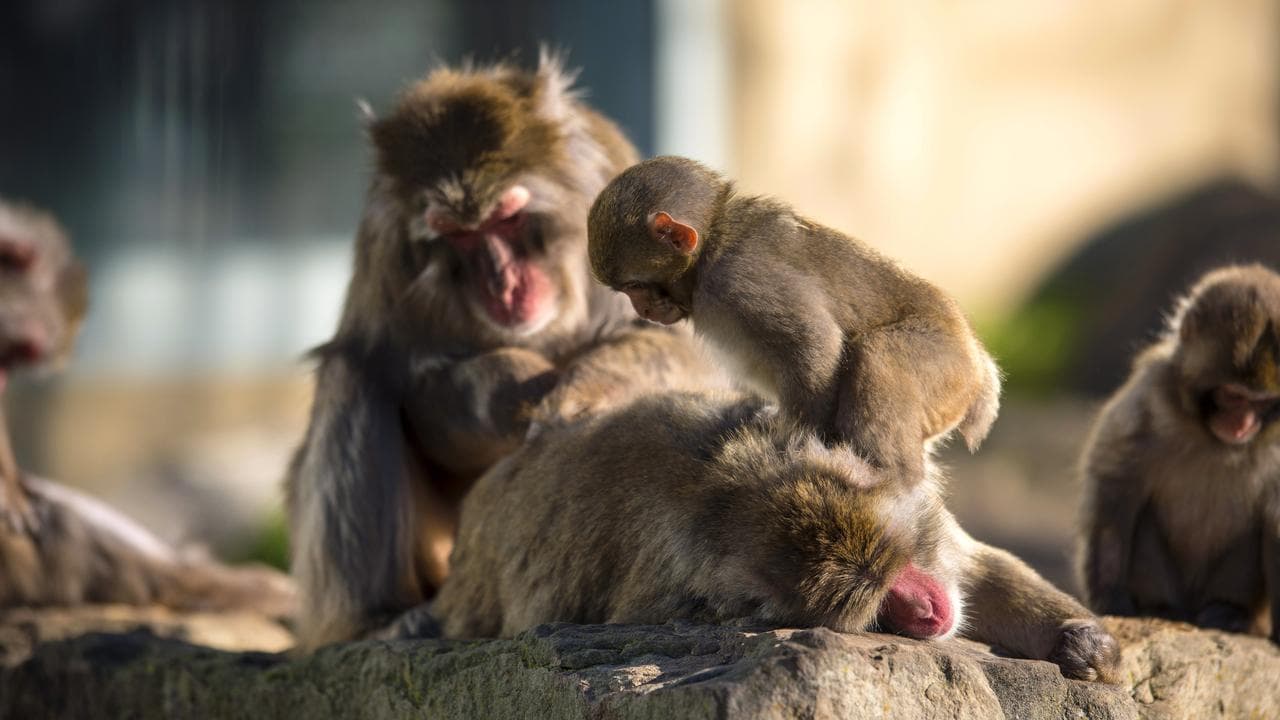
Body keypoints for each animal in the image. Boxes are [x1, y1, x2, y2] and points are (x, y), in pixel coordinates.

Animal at [286, 55, 725, 651]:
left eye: (507, 219)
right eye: (458, 235)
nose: (503, 283)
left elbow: (682, 347)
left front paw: (580, 390)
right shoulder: (386, 244)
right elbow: (410, 381)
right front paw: (515, 391)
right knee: (352, 375)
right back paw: (375, 620)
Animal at [388, 390, 1119, 683]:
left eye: (899, 574)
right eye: (880, 604)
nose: (928, 611)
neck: (738, 494)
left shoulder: (922, 520)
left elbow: (980, 569)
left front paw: (1080, 639)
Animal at [586, 156, 1001, 487]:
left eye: (635, 287)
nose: (641, 309)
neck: (713, 243)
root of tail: (979, 366)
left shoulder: (738, 279)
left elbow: (815, 340)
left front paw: (798, 442)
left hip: (945, 368)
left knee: (879, 353)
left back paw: (886, 474)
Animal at [1078, 263, 1280, 642]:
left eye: (1262, 402)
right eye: (1233, 396)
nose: (1242, 425)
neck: (1213, 437)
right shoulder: (1148, 393)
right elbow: (1116, 488)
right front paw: (1111, 596)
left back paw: (1228, 612)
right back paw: (1162, 608)